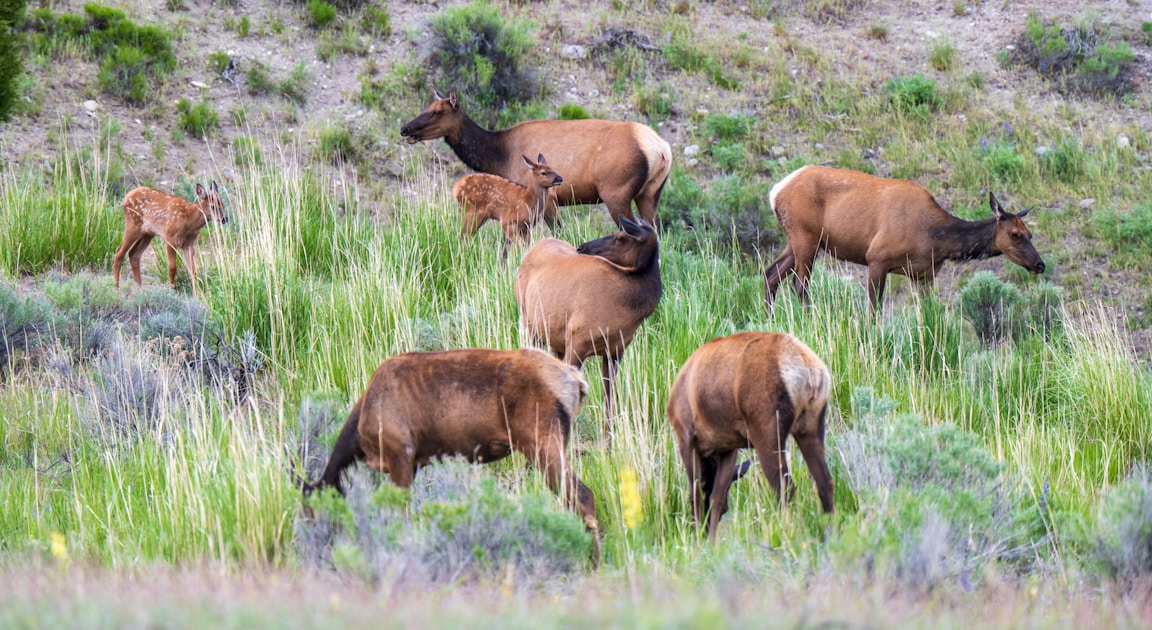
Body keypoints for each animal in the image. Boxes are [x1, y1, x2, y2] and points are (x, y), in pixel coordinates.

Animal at [301, 347, 600, 561]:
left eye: (311, 511)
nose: (314, 545)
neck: (362, 439)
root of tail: (577, 381)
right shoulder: (414, 463)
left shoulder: (400, 453)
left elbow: (399, 513)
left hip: (540, 438)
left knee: (582, 495)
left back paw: (594, 561)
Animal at [401, 89, 672, 227]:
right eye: (426, 107)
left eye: (437, 112)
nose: (405, 129)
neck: (499, 156)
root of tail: (662, 149)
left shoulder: (543, 197)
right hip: (650, 195)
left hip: (616, 193)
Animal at [514, 216, 661, 422]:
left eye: (619, 237)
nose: (582, 247)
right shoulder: (577, 341)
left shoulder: (615, 351)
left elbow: (609, 400)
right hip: (529, 324)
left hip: (555, 338)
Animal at [667, 332, 834, 538]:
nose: (705, 532)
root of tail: (809, 369)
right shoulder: (728, 446)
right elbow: (717, 497)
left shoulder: (686, 435)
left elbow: (695, 493)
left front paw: (697, 539)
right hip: (812, 424)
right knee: (825, 483)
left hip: (767, 429)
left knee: (785, 486)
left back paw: (784, 533)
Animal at [764, 165, 1046, 311]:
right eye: (1015, 234)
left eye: (1031, 234)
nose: (1040, 264)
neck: (935, 241)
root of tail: (775, 191)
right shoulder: (876, 258)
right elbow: (874, 309)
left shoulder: (924, 274)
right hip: (805, 237)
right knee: (800, 286)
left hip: (797, 240)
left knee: (770, 274)